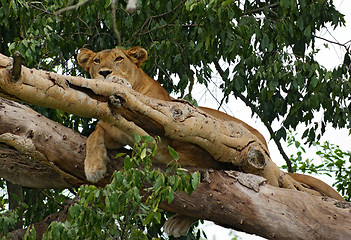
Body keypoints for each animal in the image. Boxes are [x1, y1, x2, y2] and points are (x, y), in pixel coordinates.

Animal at [76, 46, 344, 236]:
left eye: (119, 59)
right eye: (97, 61)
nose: (105, 73)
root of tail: (265, 146)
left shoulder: (159, 133)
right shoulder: (110, 129)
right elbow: (95, 134)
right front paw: (94, 166)